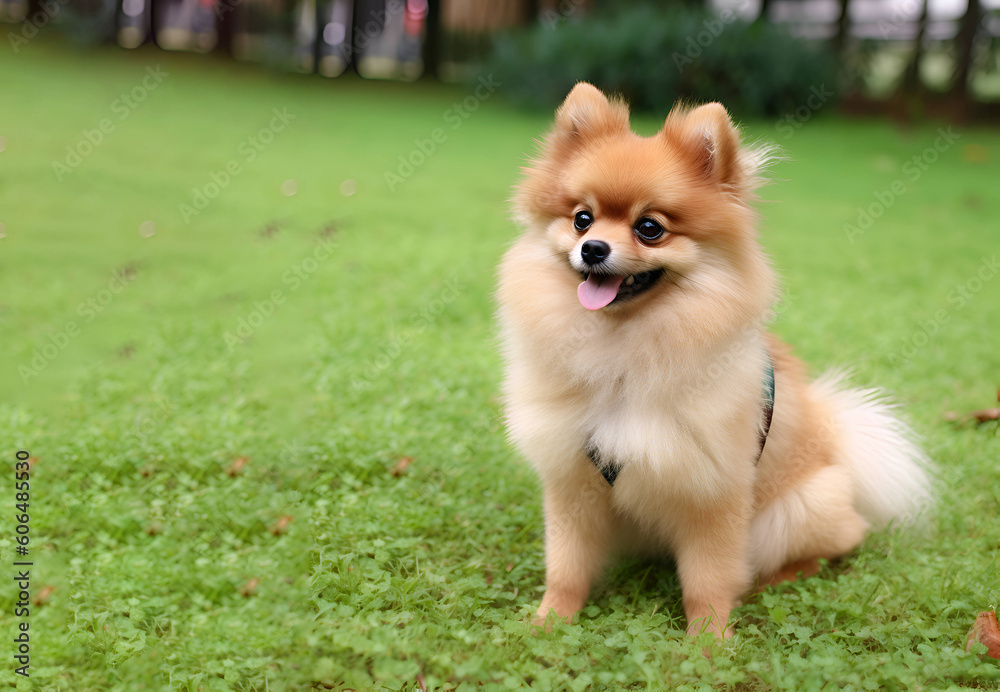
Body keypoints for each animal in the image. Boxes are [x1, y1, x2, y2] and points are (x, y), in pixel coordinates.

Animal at [496, 84, 932, 636]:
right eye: (581, 219)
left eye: (649, 228)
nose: (592, 248)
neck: (621, 352)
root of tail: (836, 439)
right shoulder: (573, 480)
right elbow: (566, 566)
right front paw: (549, 622)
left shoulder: (714, 490)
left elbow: (708, 579)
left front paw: (709, 642)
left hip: (800, 507)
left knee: (842, 541)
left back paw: (778, 578)